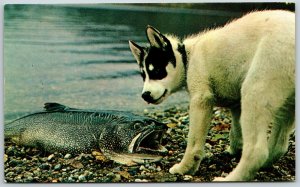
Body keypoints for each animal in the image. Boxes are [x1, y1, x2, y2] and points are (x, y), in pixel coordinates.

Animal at [127, 10, 294, 181]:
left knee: (257, 150)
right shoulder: (236, 105)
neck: (188, 57)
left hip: (255, 92)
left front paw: (185, 168)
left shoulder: (201, 100)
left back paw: (231, 178)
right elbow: (235, 133)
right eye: (143, 76)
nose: (145, 95)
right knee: (279, 146)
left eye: (157, 71)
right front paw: (235, 150)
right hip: (285, 106)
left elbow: (194, 142)